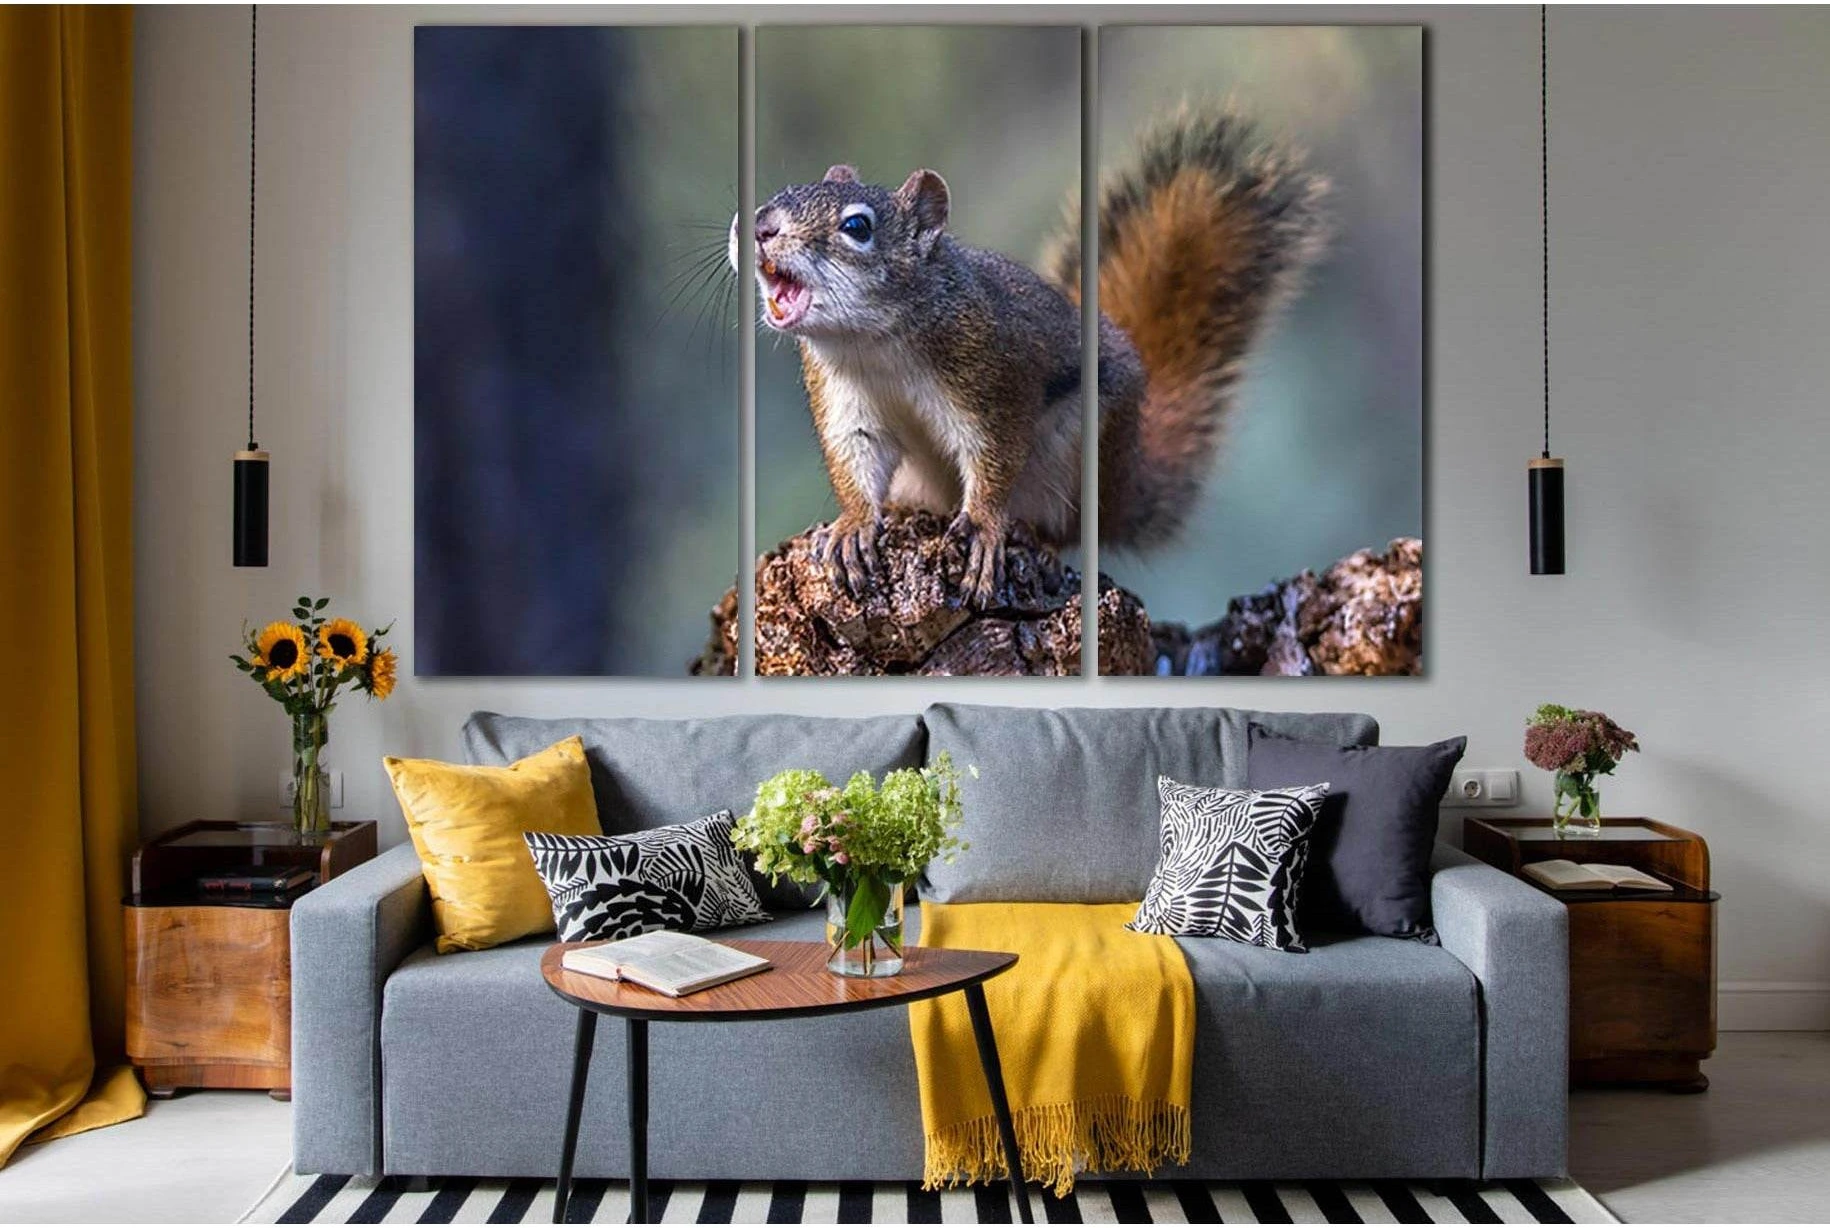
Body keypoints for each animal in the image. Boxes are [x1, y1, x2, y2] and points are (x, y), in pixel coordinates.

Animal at [739, 106, 1329, 607]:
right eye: (782, 194)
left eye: (857, 227)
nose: (761, 227)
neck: (874, 342)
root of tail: (1123, 486)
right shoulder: (844, 397)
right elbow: (855, 456)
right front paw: (854, 525)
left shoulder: (994, 378)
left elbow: (993, 454)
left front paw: (983, 525)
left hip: (1077, 454)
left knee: (1064, 530)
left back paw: (1034, 539)